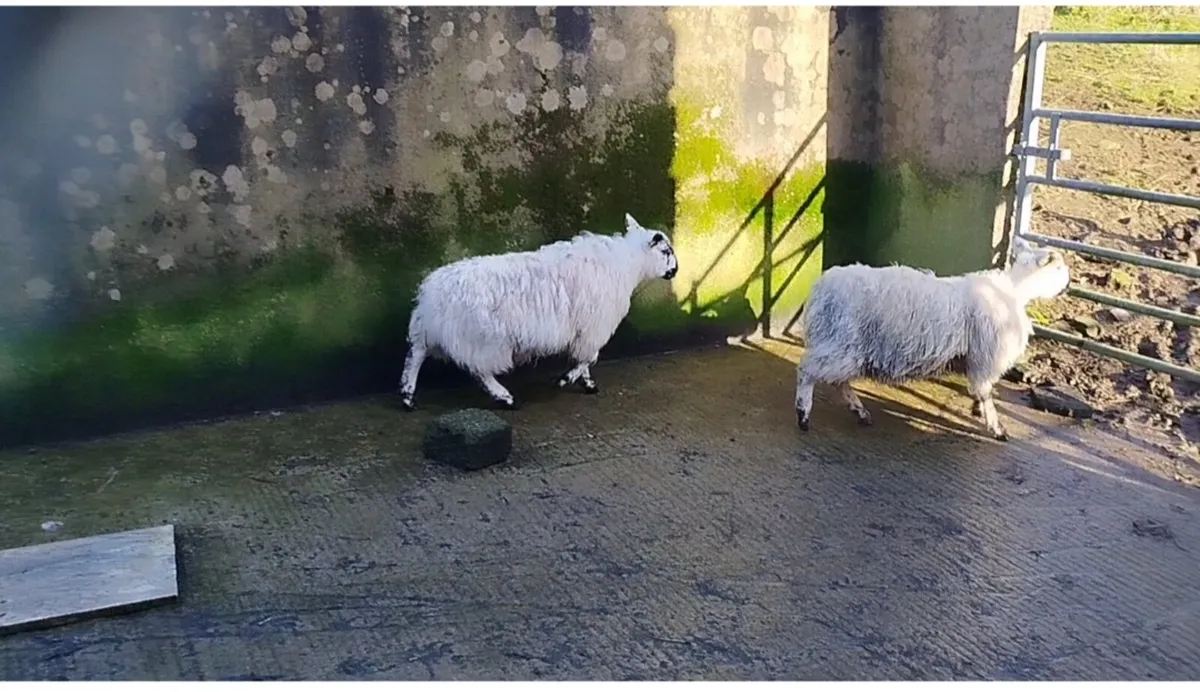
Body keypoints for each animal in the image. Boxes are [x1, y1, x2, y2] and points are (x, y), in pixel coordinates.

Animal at [397, 213, 679, 411]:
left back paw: (407, 396)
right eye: (666, 251)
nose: (675, 271)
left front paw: (586, 383)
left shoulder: (587, 329)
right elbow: (589, 358)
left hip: (430, 332)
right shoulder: (594, 326)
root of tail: (432, 293)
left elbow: (587, 359)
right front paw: (568, 379)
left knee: (415, 356)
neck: (627, 264)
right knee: (480, 371)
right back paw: (505, 397)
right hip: (483, 340)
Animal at [794, 235, 1070, 441]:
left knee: (838, 381)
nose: (1068, 283)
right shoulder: (986, 358)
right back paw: (803, 413)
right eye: (1058, 266)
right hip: (841, 343)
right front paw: (996, 428)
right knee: (807, 370)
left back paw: (859, 411)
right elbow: (985, 392)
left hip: (843, 347)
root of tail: (819, 291)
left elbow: (980, 391)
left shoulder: (977, 359)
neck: (1015, 291)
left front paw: (978, 410)